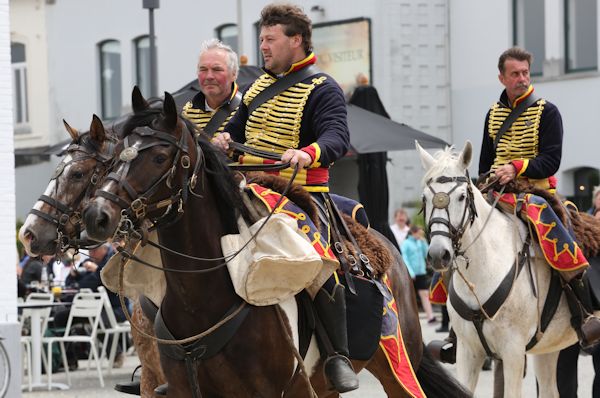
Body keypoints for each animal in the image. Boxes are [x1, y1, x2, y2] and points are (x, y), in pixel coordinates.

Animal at [81, 90, 468, 398]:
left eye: (159, 157)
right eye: (115, 157)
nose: (96, 215)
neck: (201, 299)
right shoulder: (178, 390)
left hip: (395, 361)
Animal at [420, 141, 596, 396]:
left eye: (462, 197)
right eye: (424, 198)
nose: (438, 254)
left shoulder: (513, 351)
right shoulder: (468, 351)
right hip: (549, 347)